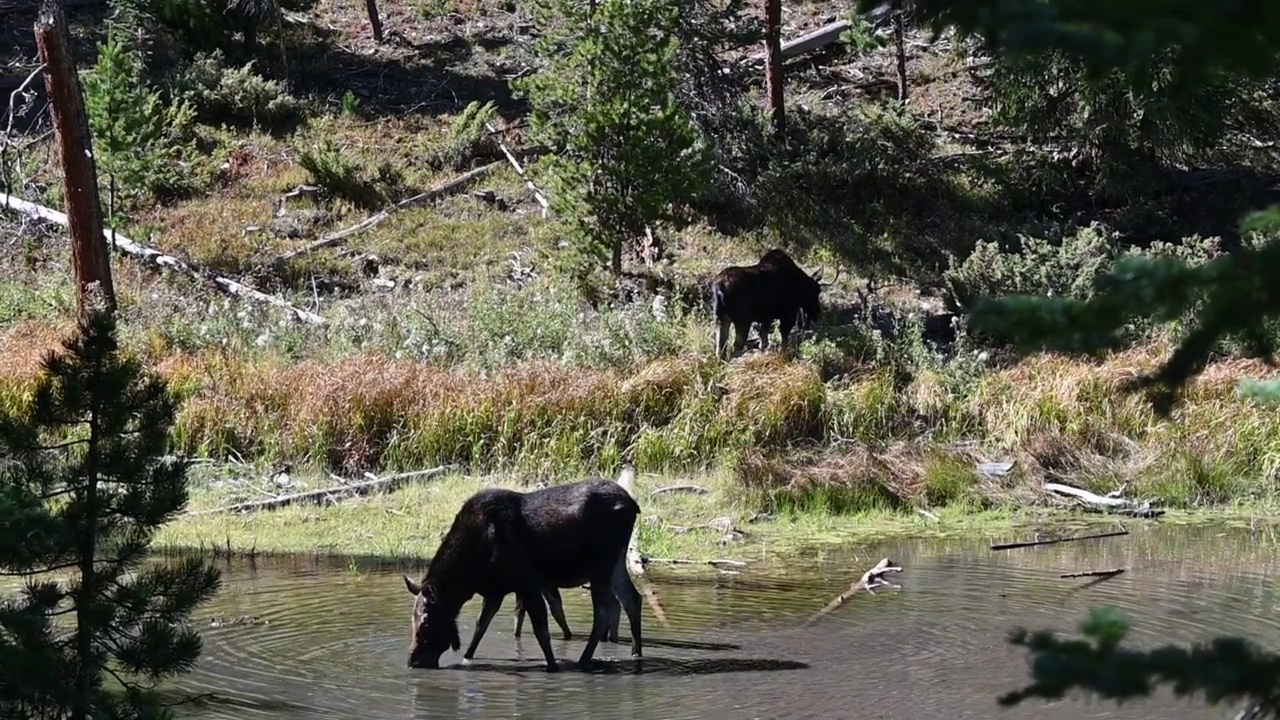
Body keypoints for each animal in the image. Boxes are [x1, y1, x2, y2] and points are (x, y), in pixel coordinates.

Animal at [399, 476, 645, 666]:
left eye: (425, 621)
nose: (413, 661)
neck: (470, 576)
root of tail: (634, 505)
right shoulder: (496, 591)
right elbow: (481, 626)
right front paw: (467, 658)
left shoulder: (527, 582)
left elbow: (541, 630)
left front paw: (553, 666)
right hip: (617, 561)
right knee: (632, 599)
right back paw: (636, 653)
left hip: (601, 563)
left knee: (604, 611)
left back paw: (585, 659)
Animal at [706, 245, 834, 358]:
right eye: (815, 292)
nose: (818, 315)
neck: (799, 287)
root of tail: (718, 288)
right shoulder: (788, 315)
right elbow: (783, 341)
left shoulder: (766, 318)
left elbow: (763, 342)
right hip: (743, 320)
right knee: (736, 347)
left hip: (721, 319)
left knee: (720, 348)